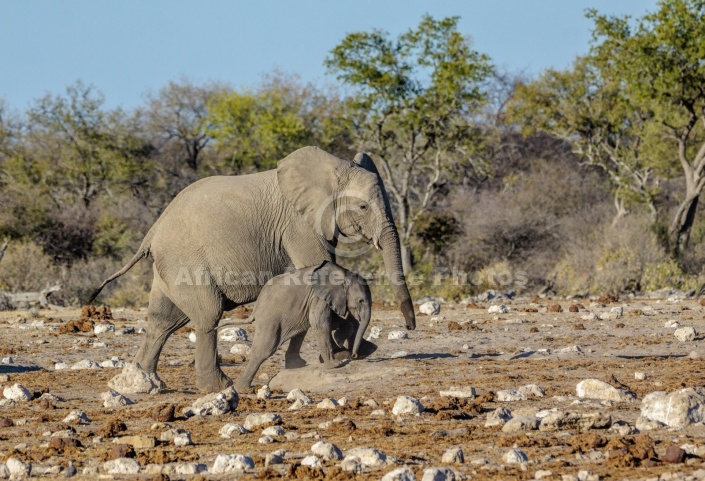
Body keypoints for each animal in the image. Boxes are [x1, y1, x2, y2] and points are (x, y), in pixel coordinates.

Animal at [235, 260, 372, 388]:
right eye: (361, 301)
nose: (354, 355)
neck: (344, 273)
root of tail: (256, 306)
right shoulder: (317, 297)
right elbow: (320, 323)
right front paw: (335, 365)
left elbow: (330, 320)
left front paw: (340, 340)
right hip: (269, 319)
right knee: (264, 349)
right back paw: (242, 388)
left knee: (300, 332)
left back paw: (298, 365)